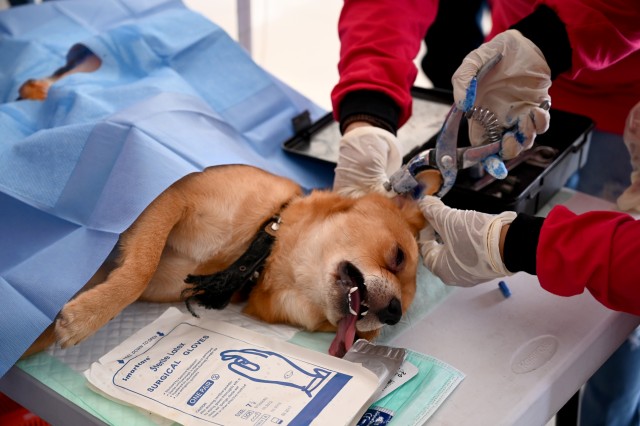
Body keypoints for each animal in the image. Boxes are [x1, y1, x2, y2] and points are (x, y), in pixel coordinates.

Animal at [17, 50, 442, 358]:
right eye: (398, 256)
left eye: (375, 332)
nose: (394, 312)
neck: (255, 247)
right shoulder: (169, 195)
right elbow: (139, 269)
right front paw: (86, 317)